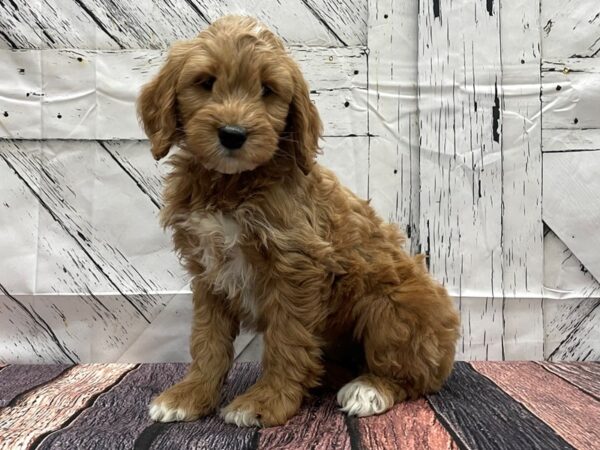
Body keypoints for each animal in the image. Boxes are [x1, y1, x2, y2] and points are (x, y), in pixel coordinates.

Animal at [139, 15, 460, 428]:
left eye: (267, 90)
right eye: (206, 82)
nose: (232, 134)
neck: (231, 184)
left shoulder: (296, 270)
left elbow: (286, 340)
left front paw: (265, 401)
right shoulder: (208, 272)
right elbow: (207, 340)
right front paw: (190, 396)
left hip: (392, 308)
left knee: (413, 375)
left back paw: (369, 389)